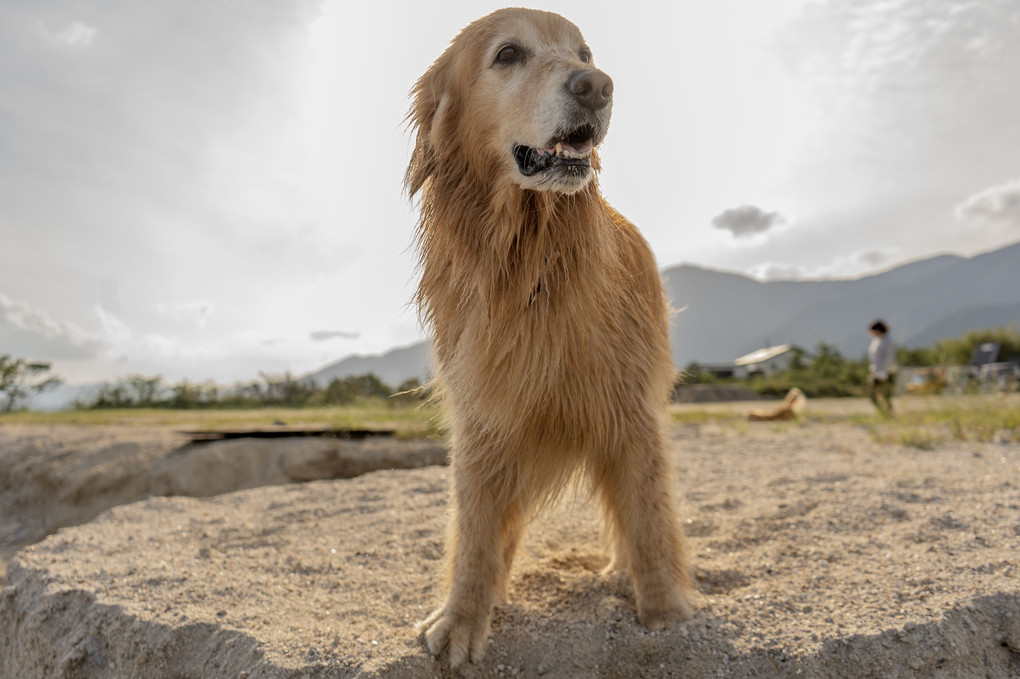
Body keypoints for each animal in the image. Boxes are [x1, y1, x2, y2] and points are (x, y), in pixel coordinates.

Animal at [405, 7, 693, 664]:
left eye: (586, 54)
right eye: (508, 53)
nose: (598, 86)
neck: (528, 256)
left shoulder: (629, 411)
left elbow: (648, 517)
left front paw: (665, 612)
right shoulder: (483, 417)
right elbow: (477, 530)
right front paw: (462, 617)